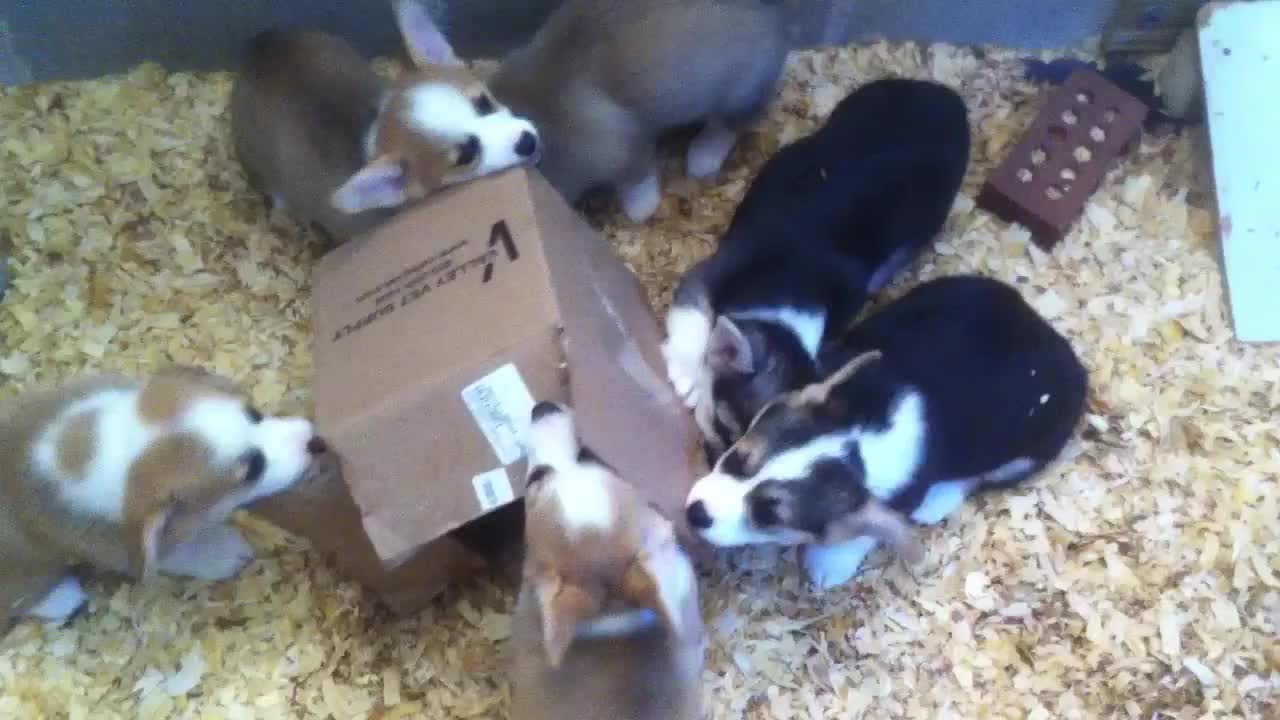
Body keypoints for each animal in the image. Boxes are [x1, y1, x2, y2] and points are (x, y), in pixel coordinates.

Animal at [0, 366, 327, 630]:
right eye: (253, 470)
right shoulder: (119, 546)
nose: (315, 442)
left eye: (255, 414)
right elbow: (185, 552)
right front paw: (225, 550)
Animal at [483, 0, 814, 221]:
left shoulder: (622, 147)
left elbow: (638, 180)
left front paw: (640, 210)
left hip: (738, 92)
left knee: (727, 126)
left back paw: (702, 157)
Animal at [660, 75, 967, 456]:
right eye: (723, 424)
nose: (711, 456)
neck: (793, 285)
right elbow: (695, 313)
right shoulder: (708, 272)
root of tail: (946, 94)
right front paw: (687, 373)